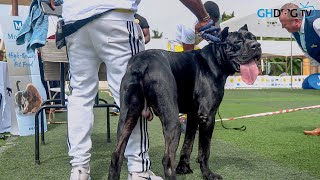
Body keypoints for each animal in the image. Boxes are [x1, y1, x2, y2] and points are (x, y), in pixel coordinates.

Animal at [109, 24, 262, 180]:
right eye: (238, 42)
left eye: (254, 38)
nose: (256, 45)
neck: (215, 59)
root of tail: (142, 63)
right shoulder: (208, 116)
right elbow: (204, 150)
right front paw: (208, 174)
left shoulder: (193, 115)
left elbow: (188, 143)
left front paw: (183, 168)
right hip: (172, 121)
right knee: (167, 159)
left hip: (127, 118)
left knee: (117, 155)